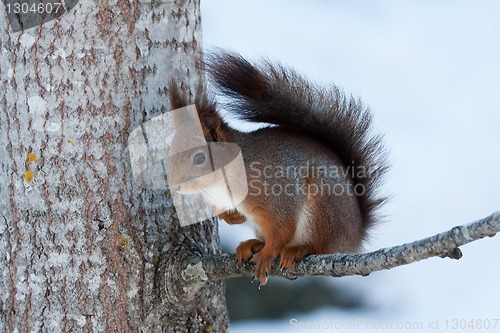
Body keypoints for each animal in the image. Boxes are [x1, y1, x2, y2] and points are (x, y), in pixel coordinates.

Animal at [168, 50, 386, 284]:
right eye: (170, 151)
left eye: (199, 158)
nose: (174, 186)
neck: (217, 185)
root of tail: (355, 235)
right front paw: (234, 217)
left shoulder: (277, 198)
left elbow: (282, 229)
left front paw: (267, 255)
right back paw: (253, 244)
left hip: (323, 207)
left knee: (321, 247)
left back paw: (297, 250)